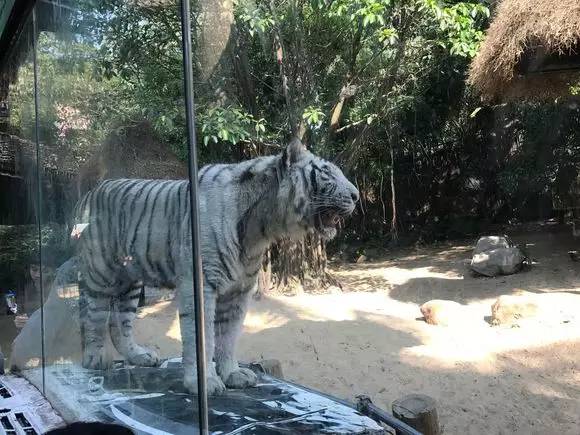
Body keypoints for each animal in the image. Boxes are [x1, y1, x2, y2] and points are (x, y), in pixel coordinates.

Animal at [73, 139, 358, 396]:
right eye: (328, 172)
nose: (357, 196)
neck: (259, 229)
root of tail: (91, 191)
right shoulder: (200, 285)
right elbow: (204, 338)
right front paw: (204, 383)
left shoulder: (239, 291)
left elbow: (229, 336)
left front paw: (233, 374)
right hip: (99, 272)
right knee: (93, 316)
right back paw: (95, 359)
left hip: (130, 282)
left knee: (120, 323)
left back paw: (139, 356)